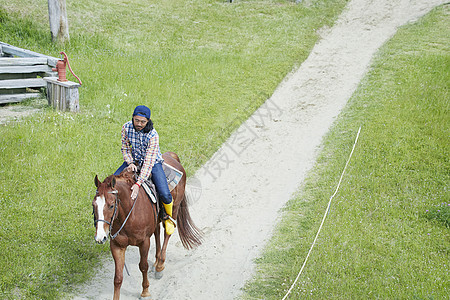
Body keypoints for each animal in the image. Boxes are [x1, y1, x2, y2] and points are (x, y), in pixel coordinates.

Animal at [93, 152, 202, 300]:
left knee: (167, 232)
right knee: (157, 232)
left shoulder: (144, 242)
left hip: (174, 208)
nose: (100, 237)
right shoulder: (116, 245)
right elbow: (118, 278)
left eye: (111, 205)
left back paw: (160, 265)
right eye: (93, 205)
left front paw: (145, 291)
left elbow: (143, 266)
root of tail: (172, 156)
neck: (128, 214)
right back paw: (156, 261)